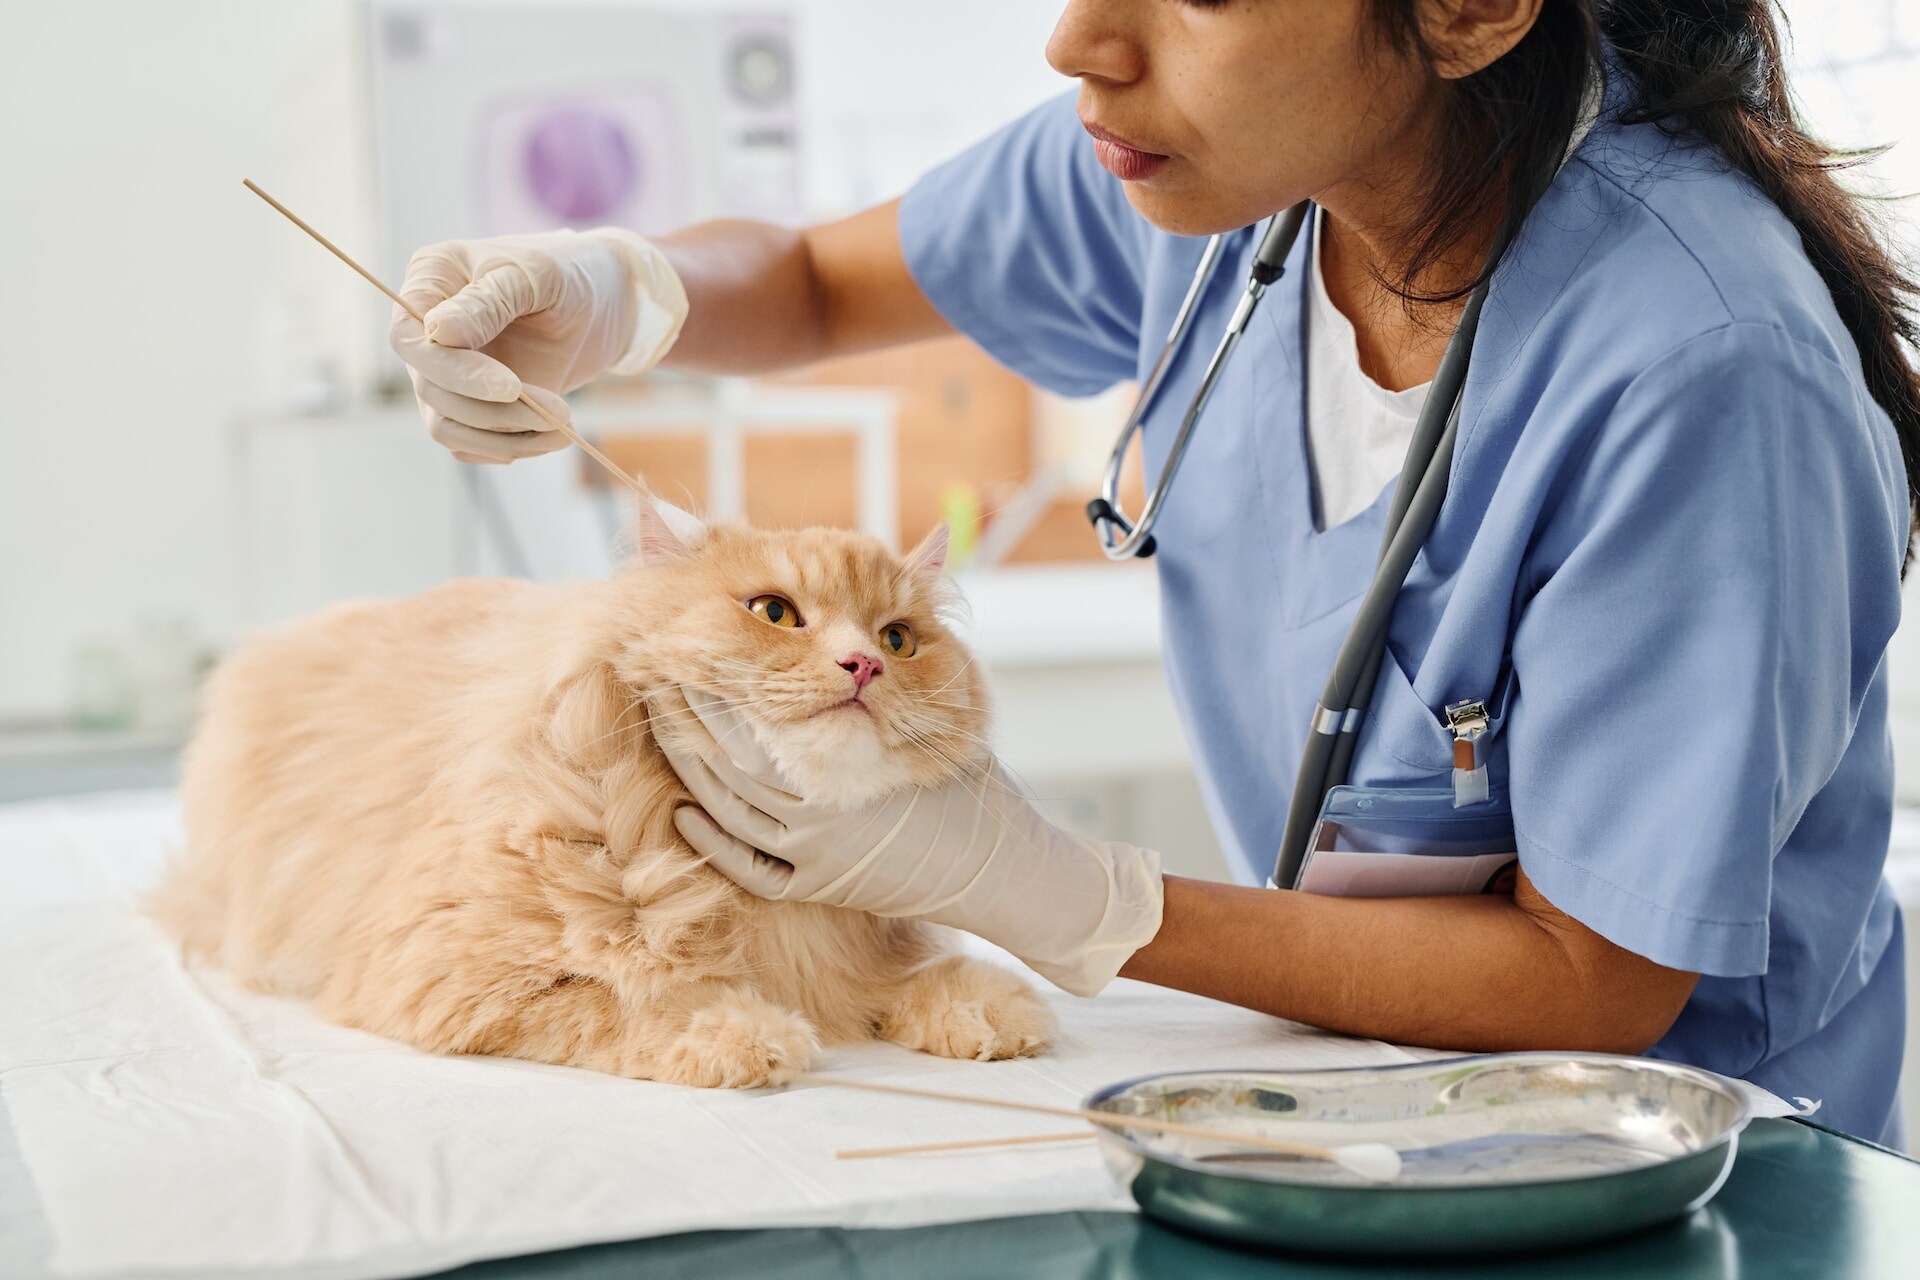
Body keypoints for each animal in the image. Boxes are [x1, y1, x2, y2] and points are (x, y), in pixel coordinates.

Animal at [151, 506, 1059, 1090]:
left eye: (899, 640)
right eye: (775, 613)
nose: (863, 666)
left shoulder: (859, 960)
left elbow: (922, 982)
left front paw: (990, 1014)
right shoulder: (448, 974)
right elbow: (628, 1002)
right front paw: (741, 1036)